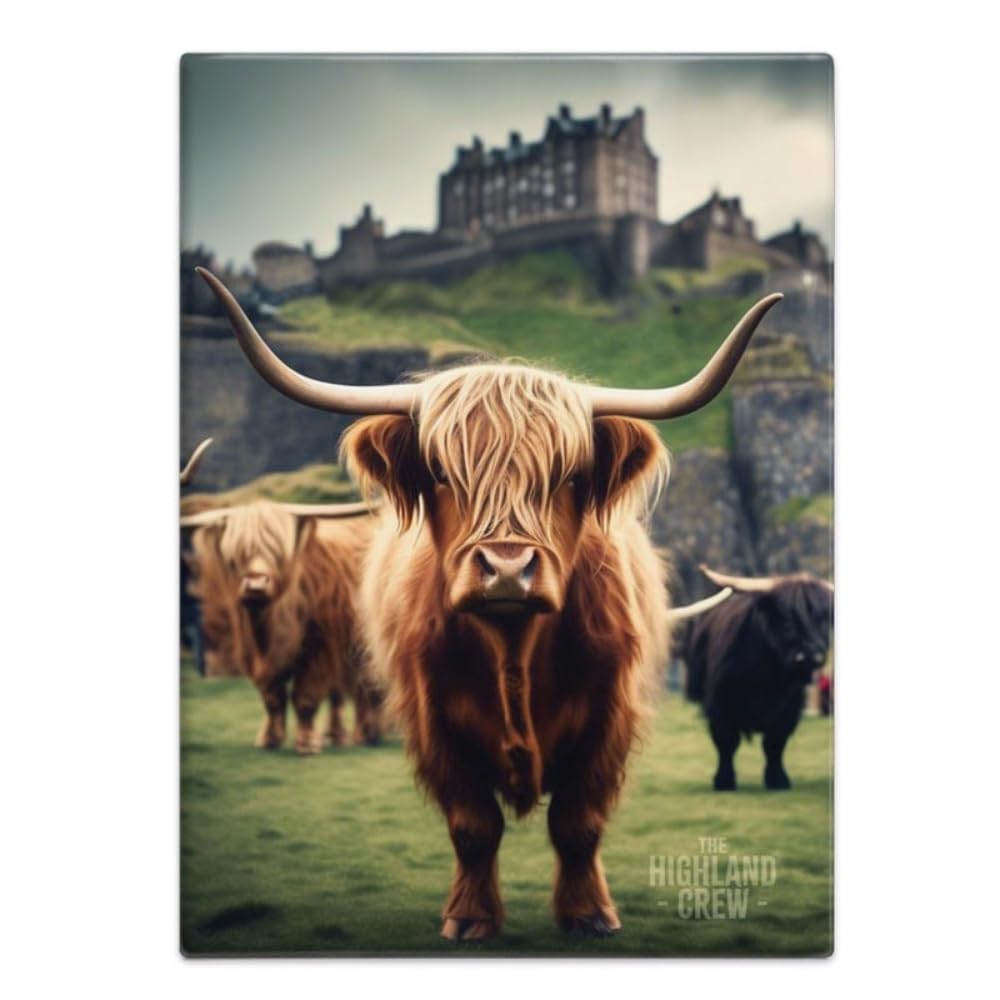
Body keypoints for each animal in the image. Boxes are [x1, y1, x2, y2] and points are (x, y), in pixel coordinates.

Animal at [181, 497, 384, 752]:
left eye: (278, 553)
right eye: (235, 556)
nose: (256, 585)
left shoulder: (319, 649)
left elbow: (305, 695)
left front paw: (307, 744)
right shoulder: (257, 653)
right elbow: (273, 699)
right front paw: (270, 739)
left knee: (368, 689)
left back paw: (368, 735)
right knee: (340, 693)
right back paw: (338, 736)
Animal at [684, 564, 834, 791]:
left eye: (825, 619)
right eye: (786, 618)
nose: (811, 655)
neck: (765, 678)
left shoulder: (790, 710)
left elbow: (774, 744)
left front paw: (778, 779)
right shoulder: (719, 706)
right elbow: (727, 743)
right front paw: (724, 781)